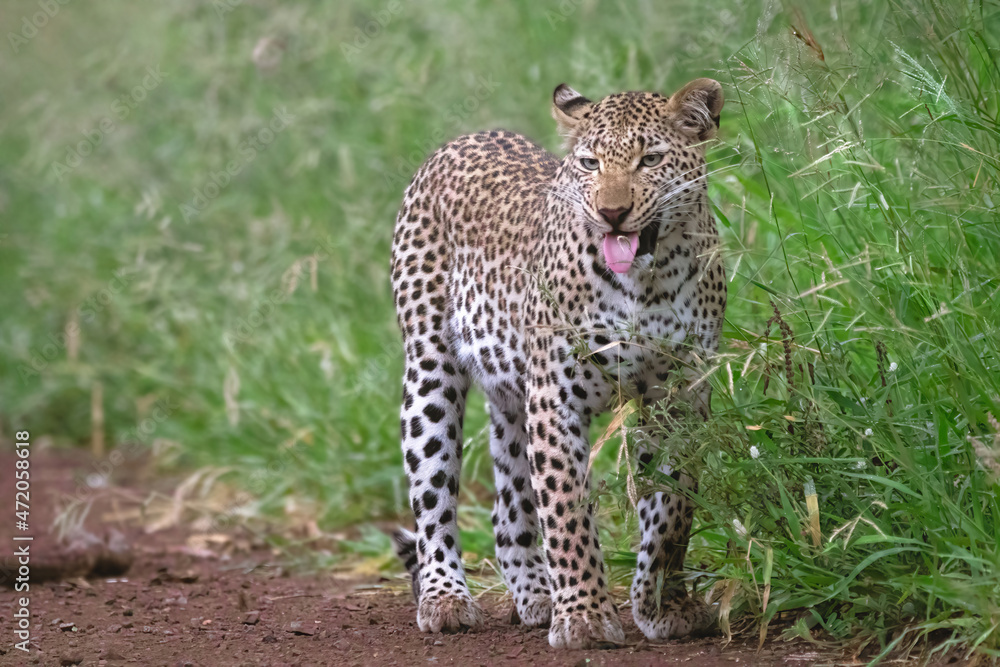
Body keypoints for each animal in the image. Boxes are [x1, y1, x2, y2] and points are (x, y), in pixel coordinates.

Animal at [389, 78, 727, 650]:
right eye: (590, 163)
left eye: (651, 159)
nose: (612, 213)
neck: (646, 286)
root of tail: (464, 138)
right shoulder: (555, 394)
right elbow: (567, 509)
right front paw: (586, 617)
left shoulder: (681, 393)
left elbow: (672, 510)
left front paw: (664, 605)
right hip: (430, 369)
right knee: (432, 497)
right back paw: (446, 598)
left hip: (511, 394)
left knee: (509, 507)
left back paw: (536, 594)